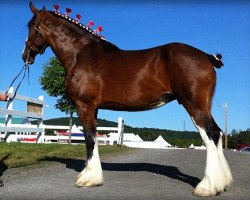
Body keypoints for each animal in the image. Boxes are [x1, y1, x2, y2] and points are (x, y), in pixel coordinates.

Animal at [22, 2, 233, 197]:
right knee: (217, 133)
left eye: (31, 26)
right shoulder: (94, 108)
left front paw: (88, 178)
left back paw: (207, 187)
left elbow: (89, 138)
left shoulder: (84, 105)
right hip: (203, 106)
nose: (25, 56)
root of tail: (206, 56)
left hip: (194, 105)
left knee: (211, 135)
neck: (81, 55)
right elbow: (94, 137)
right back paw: (222, 183)